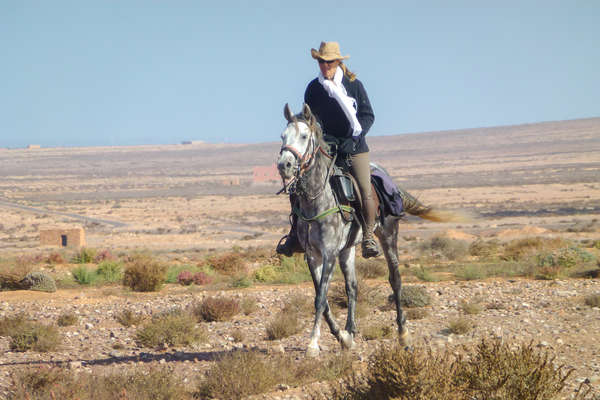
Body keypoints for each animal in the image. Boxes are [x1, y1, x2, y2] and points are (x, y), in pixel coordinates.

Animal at [276, 103, 460, 356]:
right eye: (282, 136)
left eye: (304, 136)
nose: (284, 165)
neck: (317, 200)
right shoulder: (312, 256)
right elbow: (323, 300)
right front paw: (341, 337)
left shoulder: (329, 253)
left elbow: (321, 298)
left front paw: (312, 344)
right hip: (347, 250)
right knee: (352, 287)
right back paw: (350, 333)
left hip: (388, 236)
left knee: (395, 280)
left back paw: (404, 336)